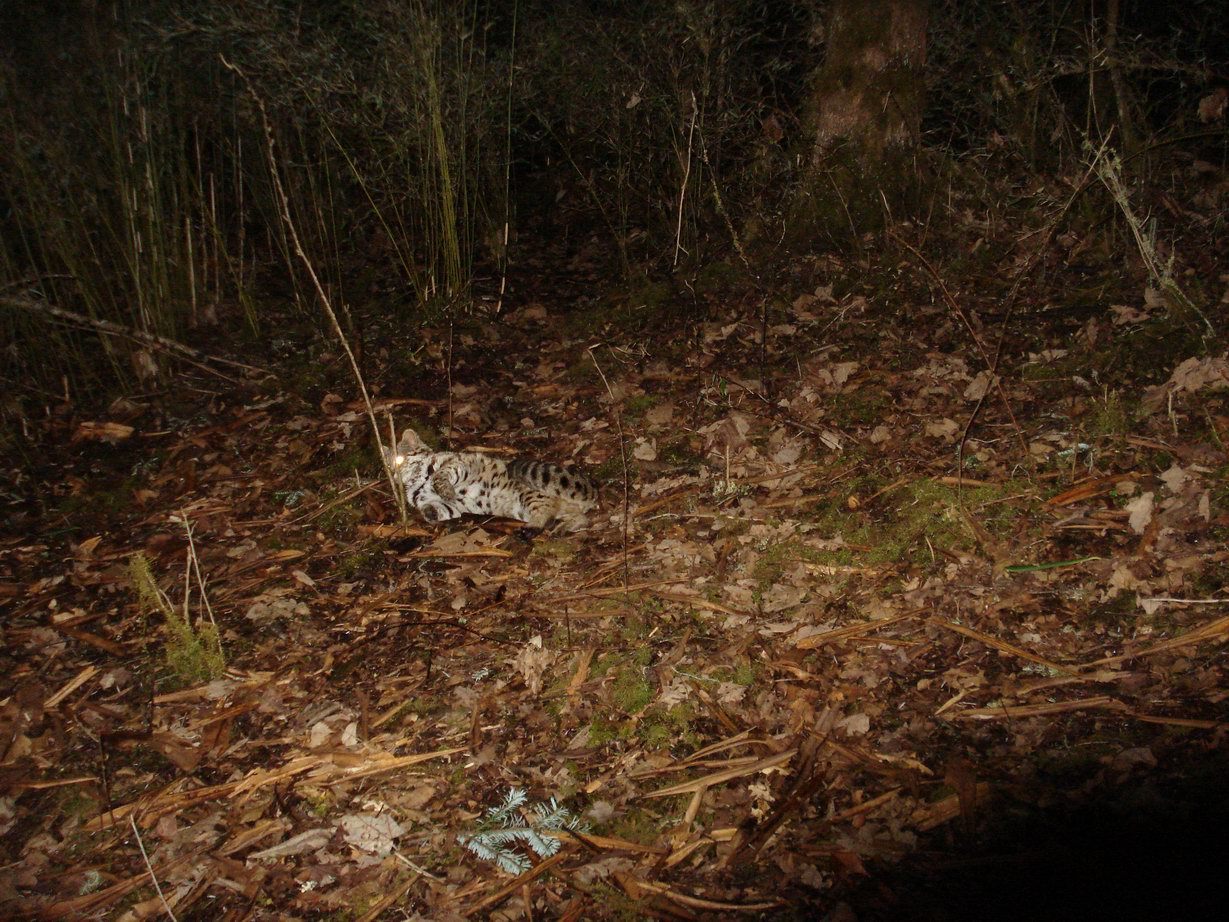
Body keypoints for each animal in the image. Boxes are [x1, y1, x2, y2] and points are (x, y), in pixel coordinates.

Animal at [380, 427, 597, 531]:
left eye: (399, 460)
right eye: (387, 466)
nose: (393, 475)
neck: (417, 481)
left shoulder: (459, 463)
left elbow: (440, 476)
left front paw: (445, 489)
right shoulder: (450, 507)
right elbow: (438, 508)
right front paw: (429, 512)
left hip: (531, 493)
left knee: (546, 511)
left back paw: (534, 526)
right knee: (581, 517)